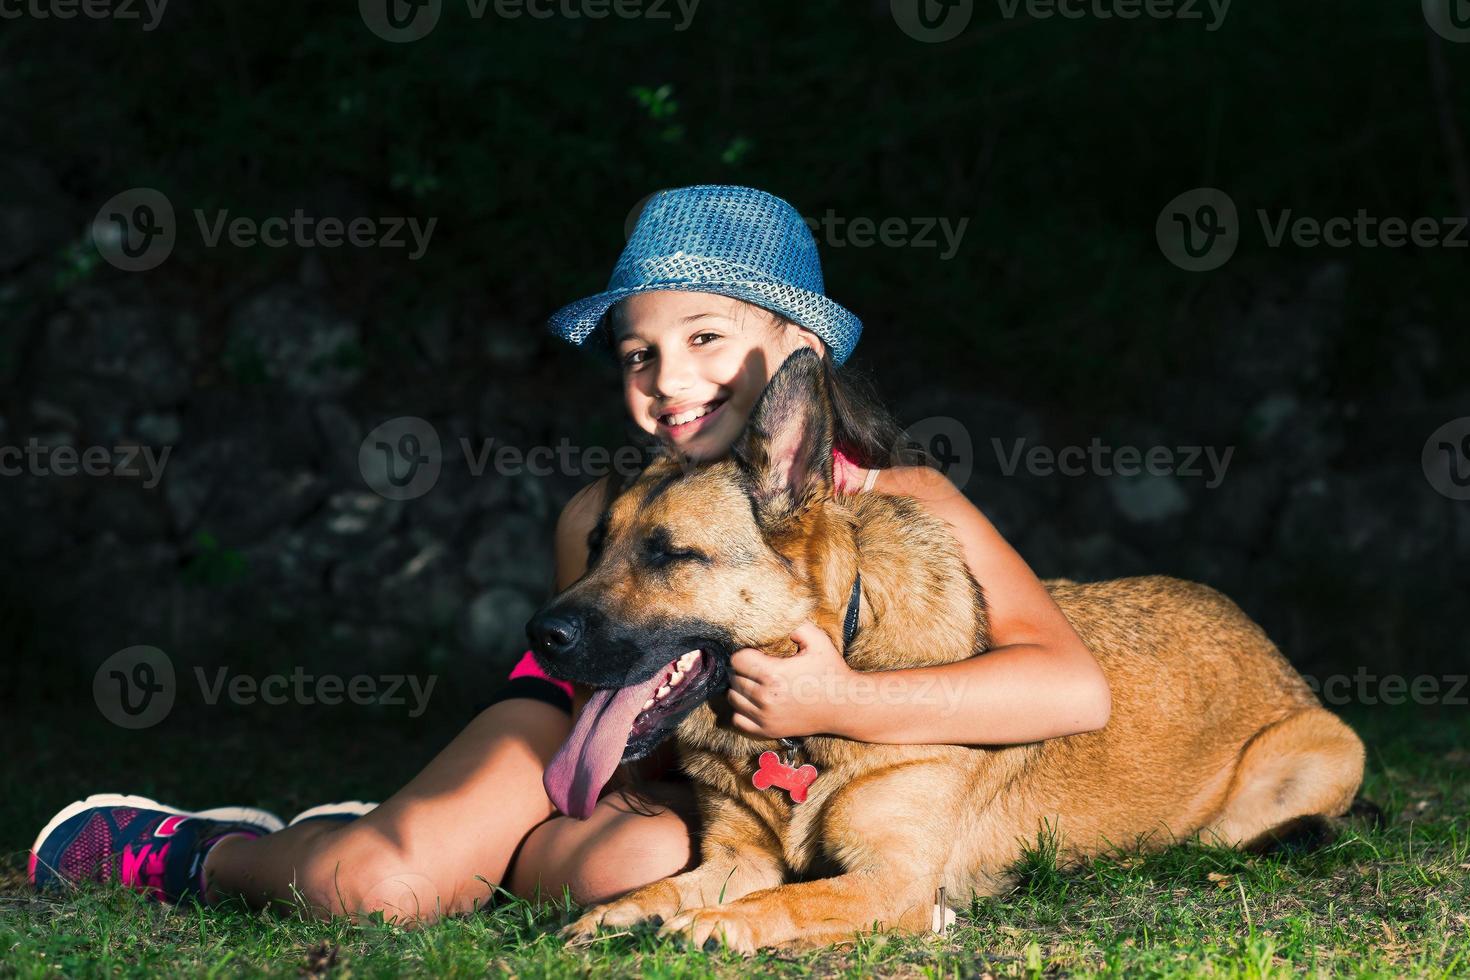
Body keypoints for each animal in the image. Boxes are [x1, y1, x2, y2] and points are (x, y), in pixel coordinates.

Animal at [526, 348, 1364, 952]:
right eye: (596, 547)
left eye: (670, 554)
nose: (541, 636)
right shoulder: (736, 859)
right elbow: (670, 887)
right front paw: (623, 912)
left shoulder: (890, 878)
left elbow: (791, 898)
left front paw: (720, 925)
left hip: (1310, 762)